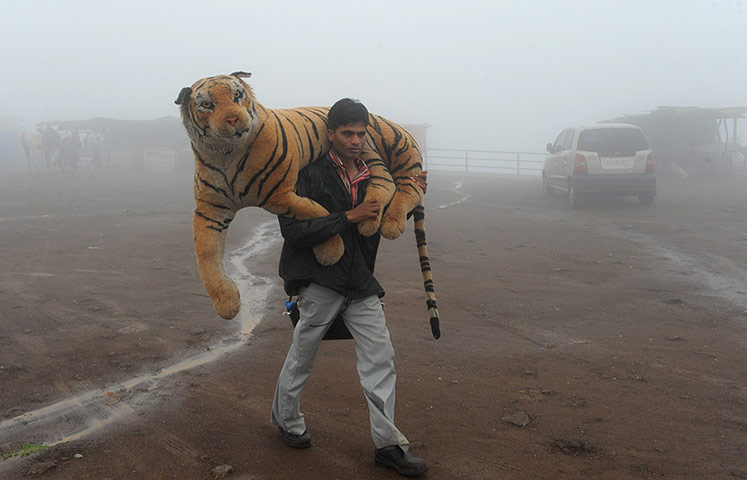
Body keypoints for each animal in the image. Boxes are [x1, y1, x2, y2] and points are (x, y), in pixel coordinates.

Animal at [175, 71, 440, 338]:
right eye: (206, 104)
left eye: (237, 95)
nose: (233, 119)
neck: (226, 153)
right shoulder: (210, 208)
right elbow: (205, 252)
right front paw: (226, 304)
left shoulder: (279, 195)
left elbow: (315, 210)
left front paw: (330, 253)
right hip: (370, 154)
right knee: (384, 182)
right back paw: (370, 221)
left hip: (399, 147)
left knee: (409, 186)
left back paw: (390, 223)